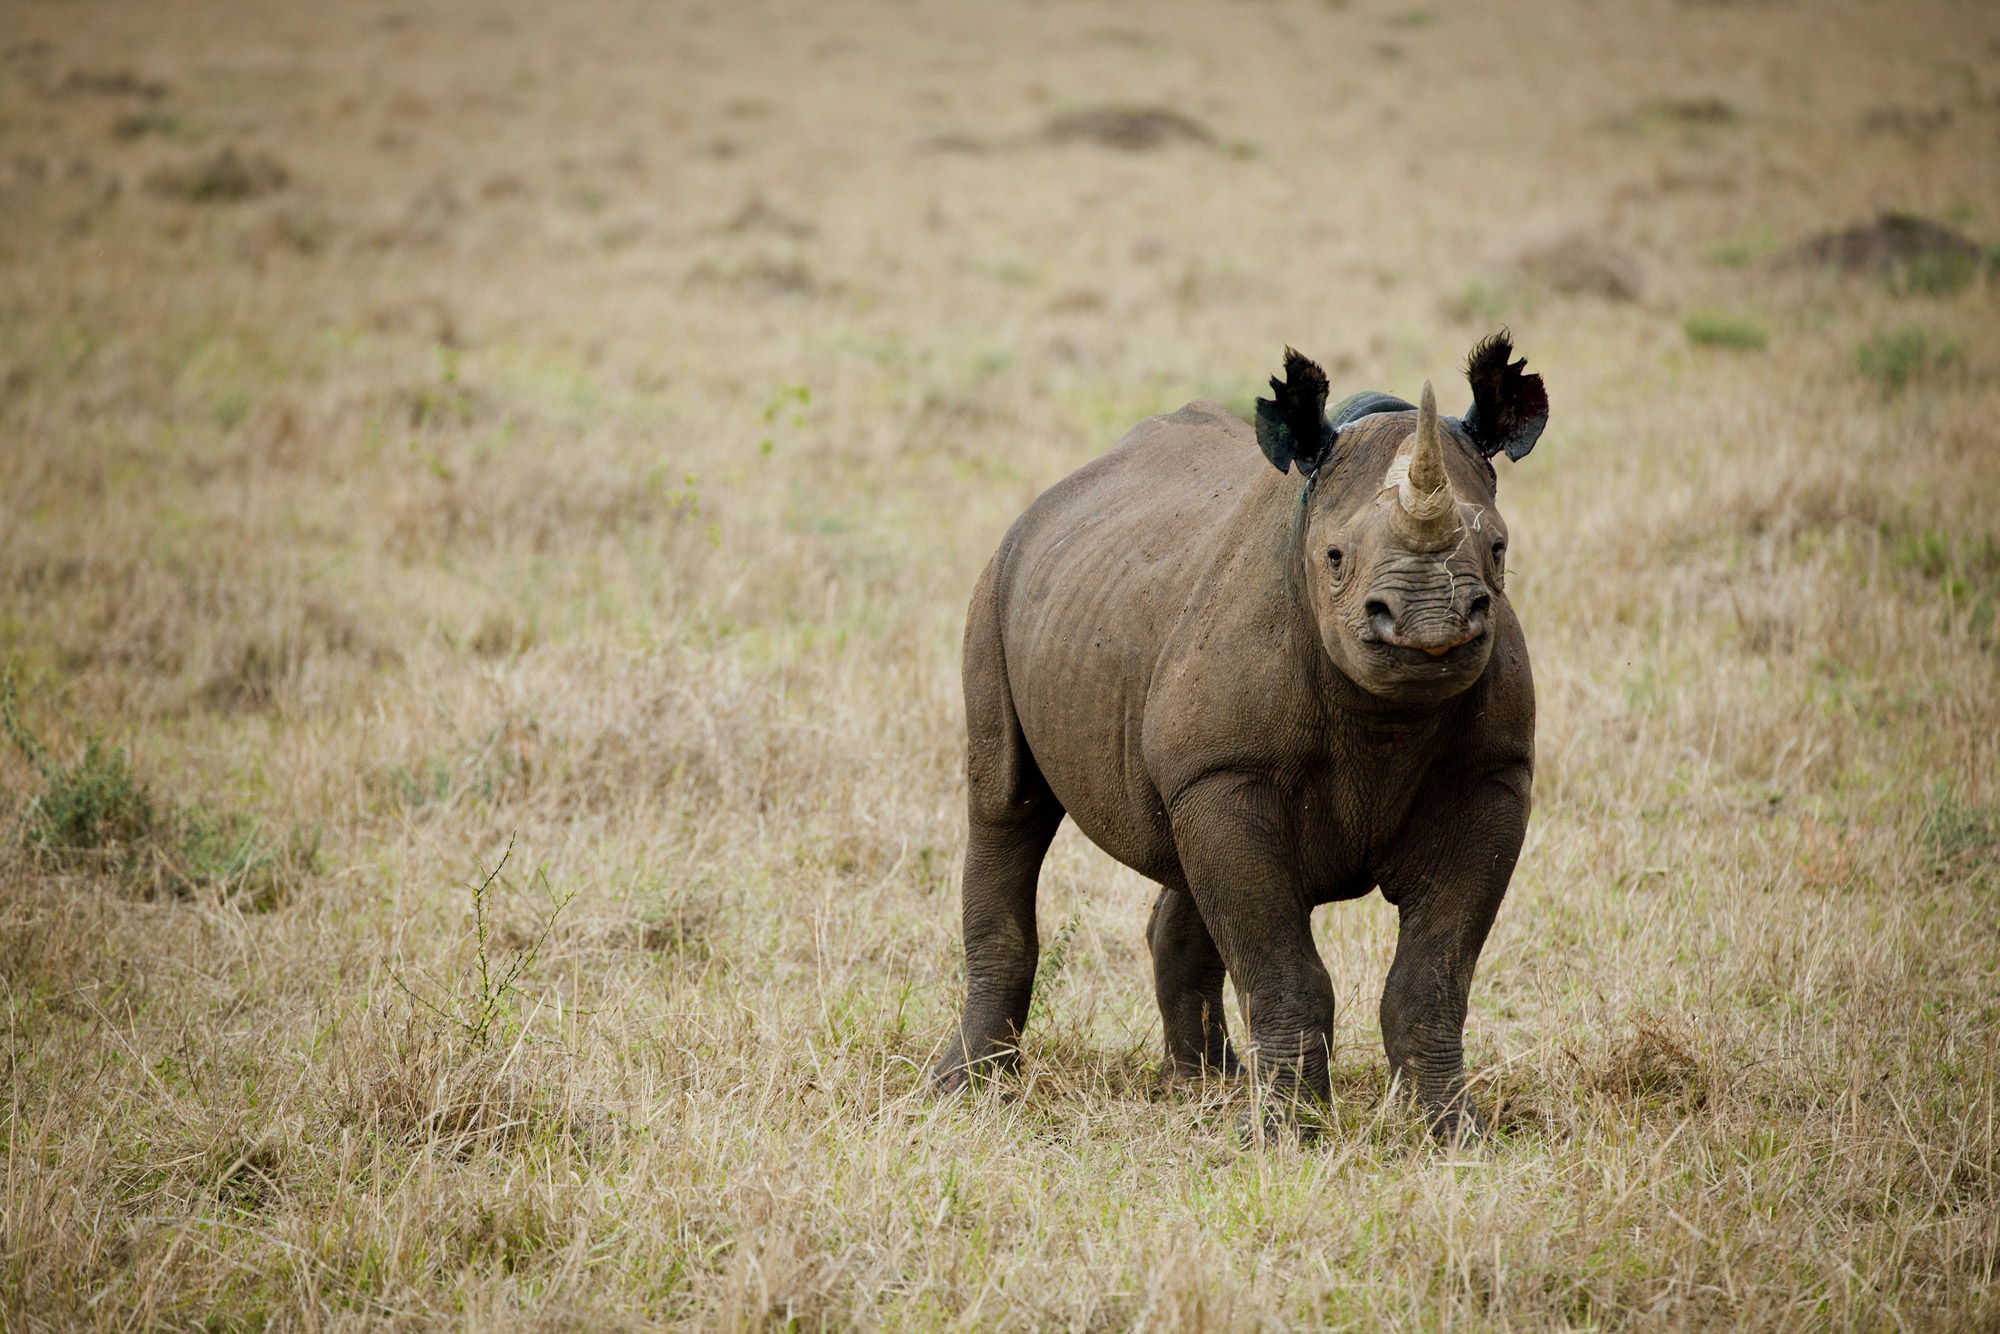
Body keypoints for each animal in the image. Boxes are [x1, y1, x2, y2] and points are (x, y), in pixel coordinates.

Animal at [932, 333, 1549, 1139]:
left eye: (1499, 551)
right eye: (1334, 559)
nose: (1430, 625)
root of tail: (1054, 496)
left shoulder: (1492, 776)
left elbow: (1432, 977)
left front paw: (1452, 1134)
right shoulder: (1227, 772)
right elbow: (1285, 972)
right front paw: (1292, 1137)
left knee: (1178, 855)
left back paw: (1204, 1086)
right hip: (996, 590)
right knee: (1008, 804)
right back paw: (964, 1090)